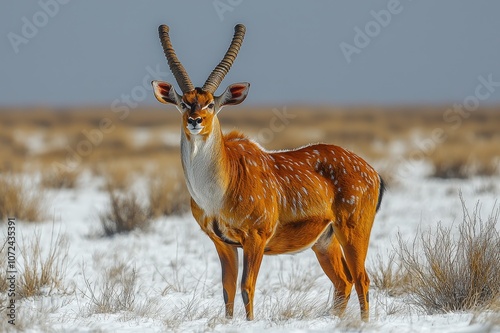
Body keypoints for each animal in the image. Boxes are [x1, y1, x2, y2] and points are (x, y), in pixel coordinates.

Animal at [152, 22, 386, 320]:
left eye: (211, 103)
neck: (219, 188)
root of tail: (371, 171)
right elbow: (227, 289)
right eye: (184, 103)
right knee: (343, 281)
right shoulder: (223, 243)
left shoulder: (256, 237)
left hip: (353, 230)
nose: (195, 121)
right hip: (325, 241)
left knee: (361, 279)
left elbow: (246, 287)